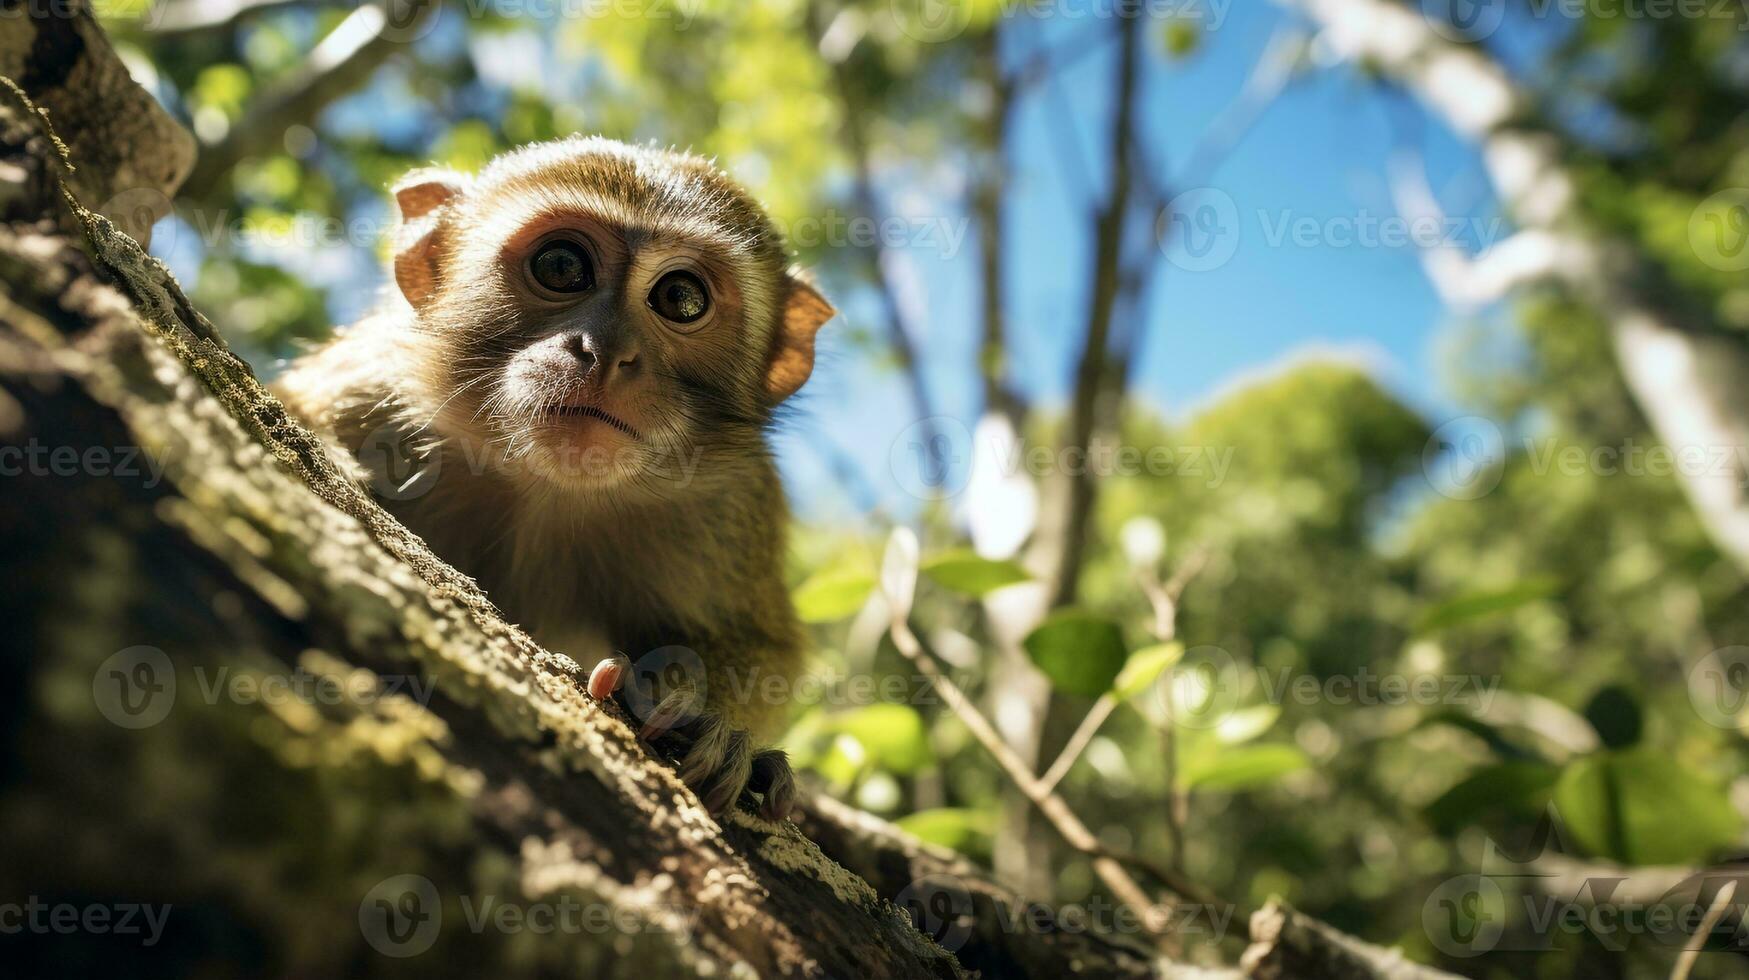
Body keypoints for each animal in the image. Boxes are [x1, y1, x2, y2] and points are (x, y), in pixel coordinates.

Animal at [276, 135, 836, 819]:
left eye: (681, 299)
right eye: (563, 266)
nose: (605, 351)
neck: (545, 489)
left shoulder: (734, 504)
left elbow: (761, 642)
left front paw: (718, 728)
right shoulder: (372, 378)